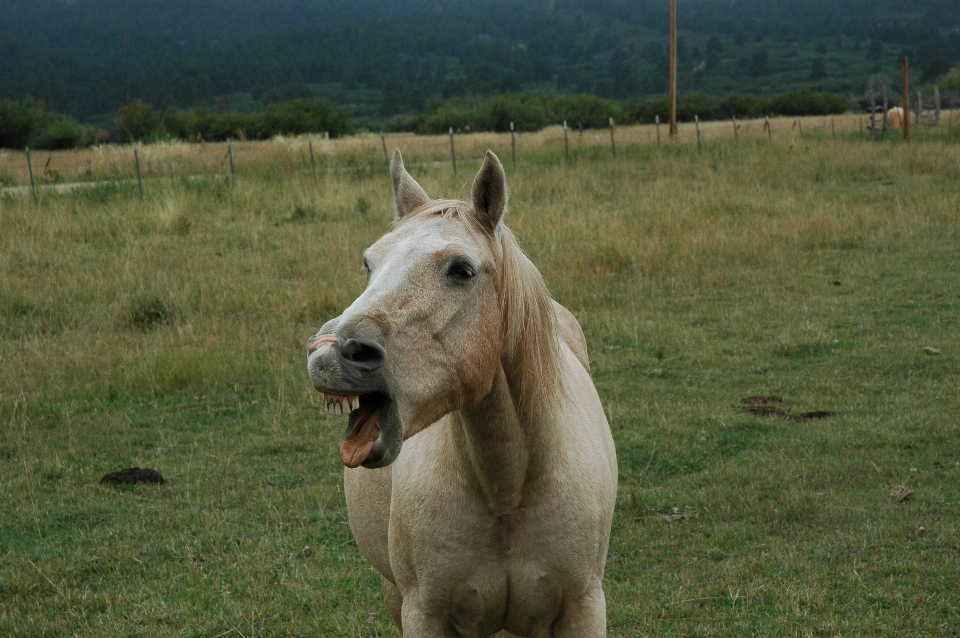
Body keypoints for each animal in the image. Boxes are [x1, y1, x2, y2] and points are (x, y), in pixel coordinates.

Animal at [312, 151, 620, 638]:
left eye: (462, 270)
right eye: (368, 263)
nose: (330, 353)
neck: (507, 490)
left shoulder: (584, 607)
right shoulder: (423, 613)